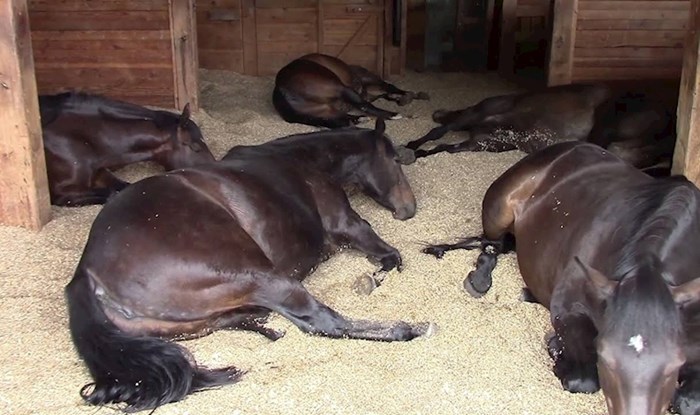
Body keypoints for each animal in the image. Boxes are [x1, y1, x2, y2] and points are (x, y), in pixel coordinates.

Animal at [37, 92, 213, 207]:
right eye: (195, 147)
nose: (215, 166)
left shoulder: (100, 172)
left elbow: (124, 186)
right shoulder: (62, 193)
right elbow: (111, 193)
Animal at [65, 119, 432, 412]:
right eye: (395, 160)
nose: (408, 209)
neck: (302, 161)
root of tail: (86, 272)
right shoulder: (351, 226)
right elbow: (391, 258)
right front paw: (372, 279)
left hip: (189, 322)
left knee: (240, 319)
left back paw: (267, 327)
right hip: (263, 278)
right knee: (324, 322)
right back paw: (410, 329)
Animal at [274, 53, 432, 128]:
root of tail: (282, 90)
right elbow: (389, 87)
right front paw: (406, 96)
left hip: (323, 111)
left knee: (341, 119)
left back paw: (360, 119)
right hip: (340, 88)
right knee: (365, 106)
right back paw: (395, 114)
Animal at [418, 141, 700, 415]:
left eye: (674, 363)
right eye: (605, 357)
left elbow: (689, 402)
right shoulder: (567, 311)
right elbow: (583, 379)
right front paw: (556, 348)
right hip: (499, 213)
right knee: (492, 244)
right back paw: (479, 280)